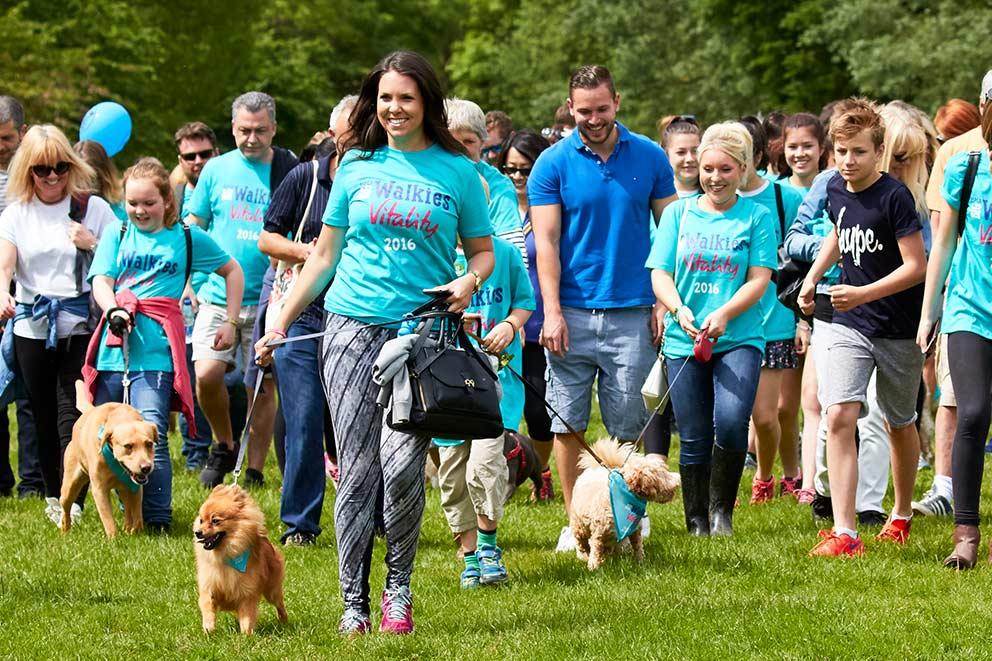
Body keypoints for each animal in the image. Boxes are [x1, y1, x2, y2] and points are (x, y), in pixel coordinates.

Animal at [60, 382, 158, 536]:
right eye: (128, 446)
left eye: (149, 444)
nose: (146, 468)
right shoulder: (99, 489)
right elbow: (108, 519)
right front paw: (114, 538)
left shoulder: (135, 487)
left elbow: (137, 515)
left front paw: (135, 532)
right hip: (70, 484)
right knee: (65, 506)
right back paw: (65, 530)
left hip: (123, 488)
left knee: (128, 509)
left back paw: (127, 528)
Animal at [194, 484, 286, 636]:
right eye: (201, 520)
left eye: (215, 521)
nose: (198, 532)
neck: (225, 555)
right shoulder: (209, 586)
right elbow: (207, 607)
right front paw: (209, 628)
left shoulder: (247, 593)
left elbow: (247, 617)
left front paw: (247, 635)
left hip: (272, 590)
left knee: (279, 603)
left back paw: (284, 620)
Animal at [564, 438, 680, 568]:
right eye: (663, 473)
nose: (678, 478)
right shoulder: (599, 533)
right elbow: (596, 549)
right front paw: (594, 566)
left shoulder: (635, 530)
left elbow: (638, 546)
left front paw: (641, 562)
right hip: (578, 524)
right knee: (581, 542)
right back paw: (583, 556)